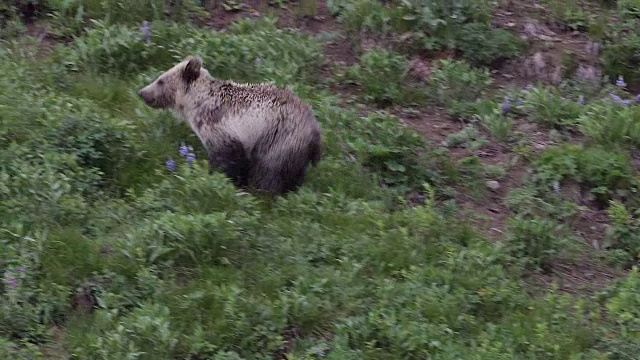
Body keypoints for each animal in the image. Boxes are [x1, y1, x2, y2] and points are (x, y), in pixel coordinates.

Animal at [138, 56, 322, 195]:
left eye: (161, 80)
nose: (142, 93)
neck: (197, 104)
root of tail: (315, 129)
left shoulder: (221, 128)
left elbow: (226, 159)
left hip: (280, 139)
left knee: (270, 171)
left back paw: (264, 194)